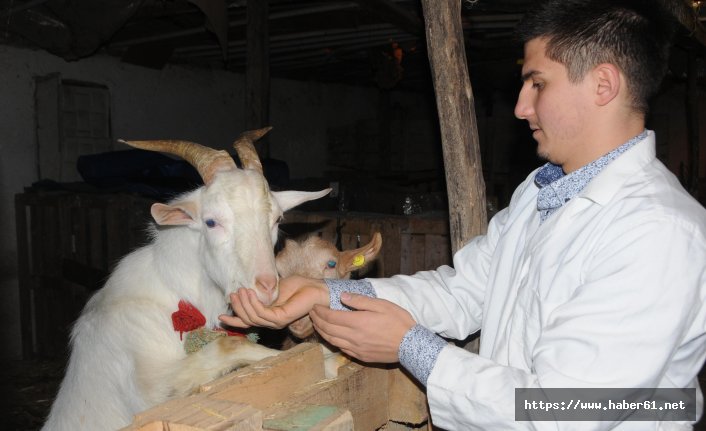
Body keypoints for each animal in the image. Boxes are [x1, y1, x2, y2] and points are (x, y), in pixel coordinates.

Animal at [42, 128, 328, 431]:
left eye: (277, 219)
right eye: (211, 222)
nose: (266, 287)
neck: (174, 293)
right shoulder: (153, 389)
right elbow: (230, 344)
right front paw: (327, 359)